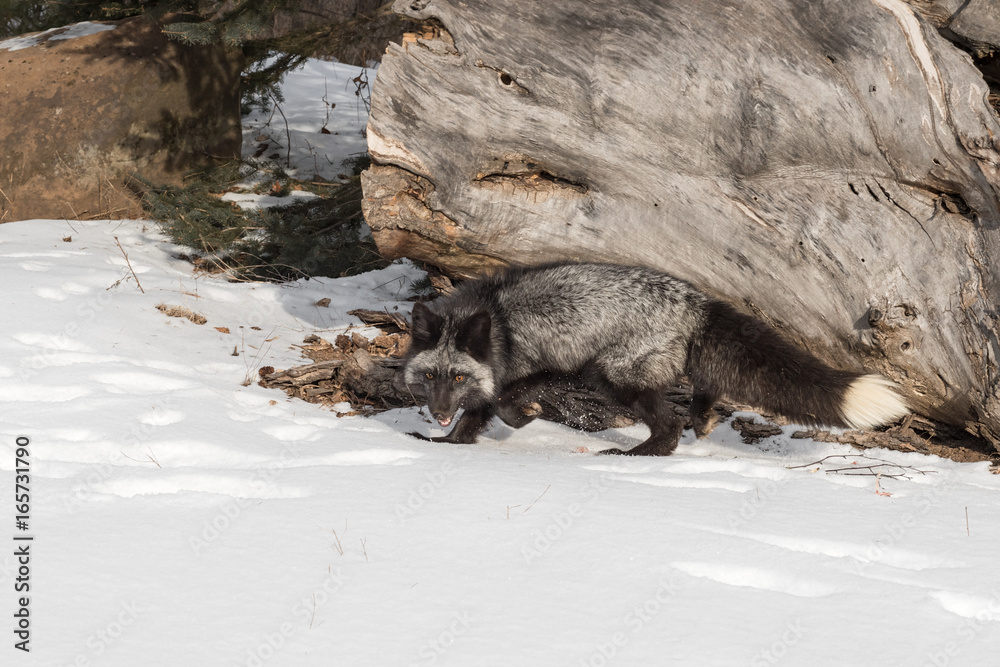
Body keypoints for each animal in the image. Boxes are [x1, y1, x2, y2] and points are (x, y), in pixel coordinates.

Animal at [403, 262, 908, 456]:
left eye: (458, 378)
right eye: (430, 376)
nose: (439, 411)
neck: (498, 325)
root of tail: (696, 300)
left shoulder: (555, 368)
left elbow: (506, 404)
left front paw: (524, 417)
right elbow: (478, 417)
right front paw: (446, 444)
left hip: (612, 375)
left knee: (668, 427)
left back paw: (638, 454)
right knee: (704, 388)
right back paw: (704, 416)